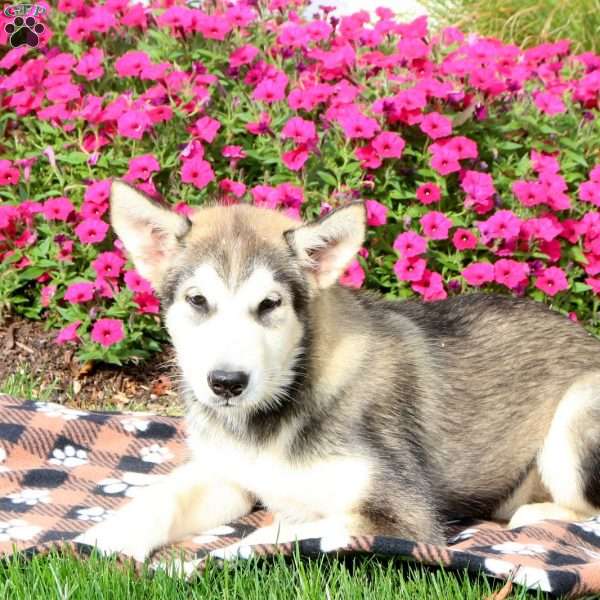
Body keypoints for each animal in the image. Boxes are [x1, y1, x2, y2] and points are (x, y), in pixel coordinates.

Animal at [79, 180, 600, 560]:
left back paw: (533, 514)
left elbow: (289, 531)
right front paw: (112, 535)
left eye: (269, 304)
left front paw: (229, 552)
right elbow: (164, 495)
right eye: (197, 301)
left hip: (574, 416)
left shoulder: (404, 514)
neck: (275, 413)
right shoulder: (227, 472)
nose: (226, 384)